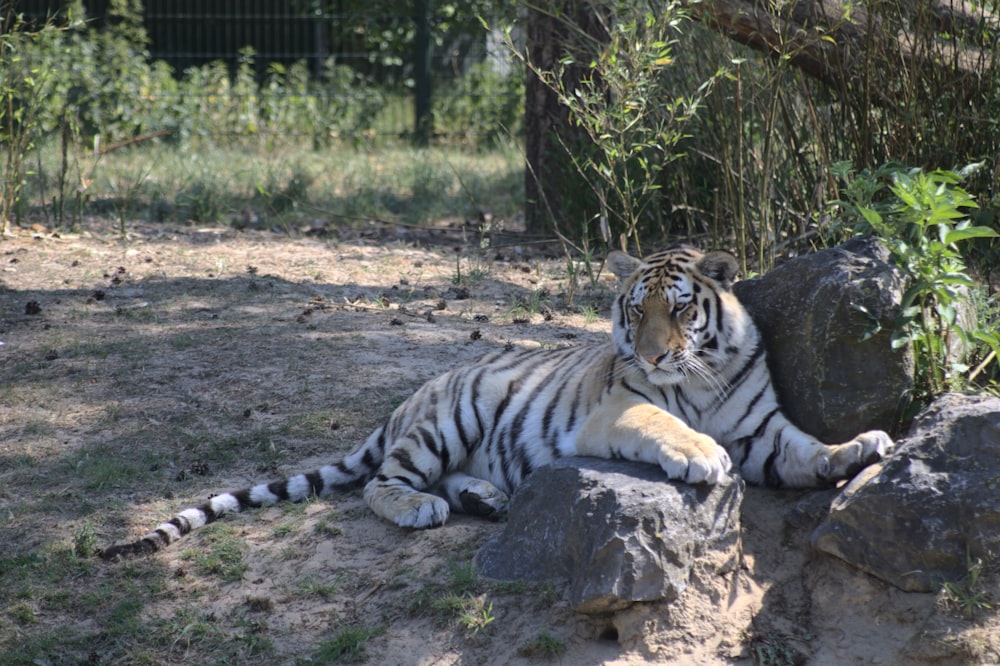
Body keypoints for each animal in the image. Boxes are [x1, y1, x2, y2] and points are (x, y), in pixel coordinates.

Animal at [101, 241, 896, 556]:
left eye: (678, 308)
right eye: (634, 311)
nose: (648, 352)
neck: (695, 376)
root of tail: (410, 396)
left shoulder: (764, 430)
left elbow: (808, 449)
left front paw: (864, 447)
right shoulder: (618, 409)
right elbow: (662, 422)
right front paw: (701, 456)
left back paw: (485, 499)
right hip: (452, 419)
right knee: (381, 484)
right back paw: (422, 509)